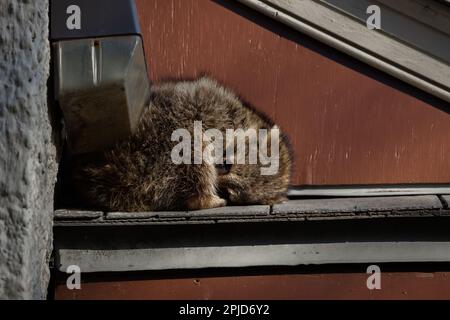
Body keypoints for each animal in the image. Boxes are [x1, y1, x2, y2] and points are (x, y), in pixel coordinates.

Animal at [71, 77, 292, 212]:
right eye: (227, 165)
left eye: (231, 192)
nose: (218, 176)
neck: (245, 120)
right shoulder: (210, 104)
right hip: (154, 145)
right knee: (194, 148)